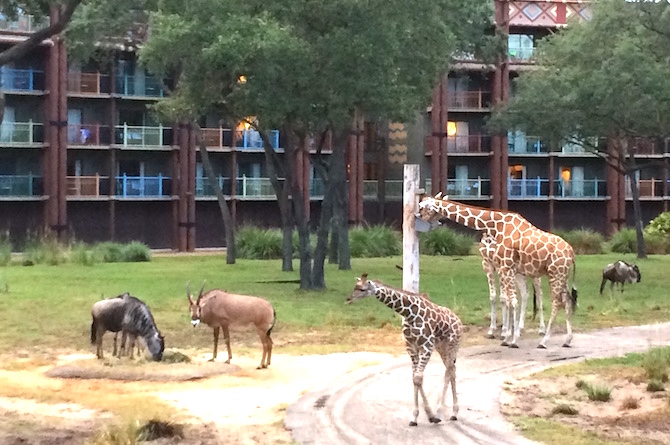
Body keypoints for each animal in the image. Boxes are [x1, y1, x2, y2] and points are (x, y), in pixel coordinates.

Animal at [346, 274, 462, 426]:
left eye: (362, 289)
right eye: (355, 287)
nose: (348, 299)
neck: (409, 313)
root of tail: (458, 320)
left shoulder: (427, 346)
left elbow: (418, 378)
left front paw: (431, 415)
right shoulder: (411, 347)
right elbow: (415, 378)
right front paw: (416, 417)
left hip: (452, 344)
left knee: (450, 371)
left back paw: (445, 412)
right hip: (441, 346)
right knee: (451, 370)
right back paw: (448, 412)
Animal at [420, 193, 576, 348]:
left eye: (422, 206)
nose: (418, 217)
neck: (495, 225)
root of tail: (572, 253)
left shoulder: (505, 266)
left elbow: (510, 300)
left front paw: (511, 339)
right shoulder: (501, 267)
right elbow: (505, 299)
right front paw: (507, 335)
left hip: (553, 275)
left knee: (554, 301)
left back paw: (543, 340)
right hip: (562, 276)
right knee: (566, 301)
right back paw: (567, 340)